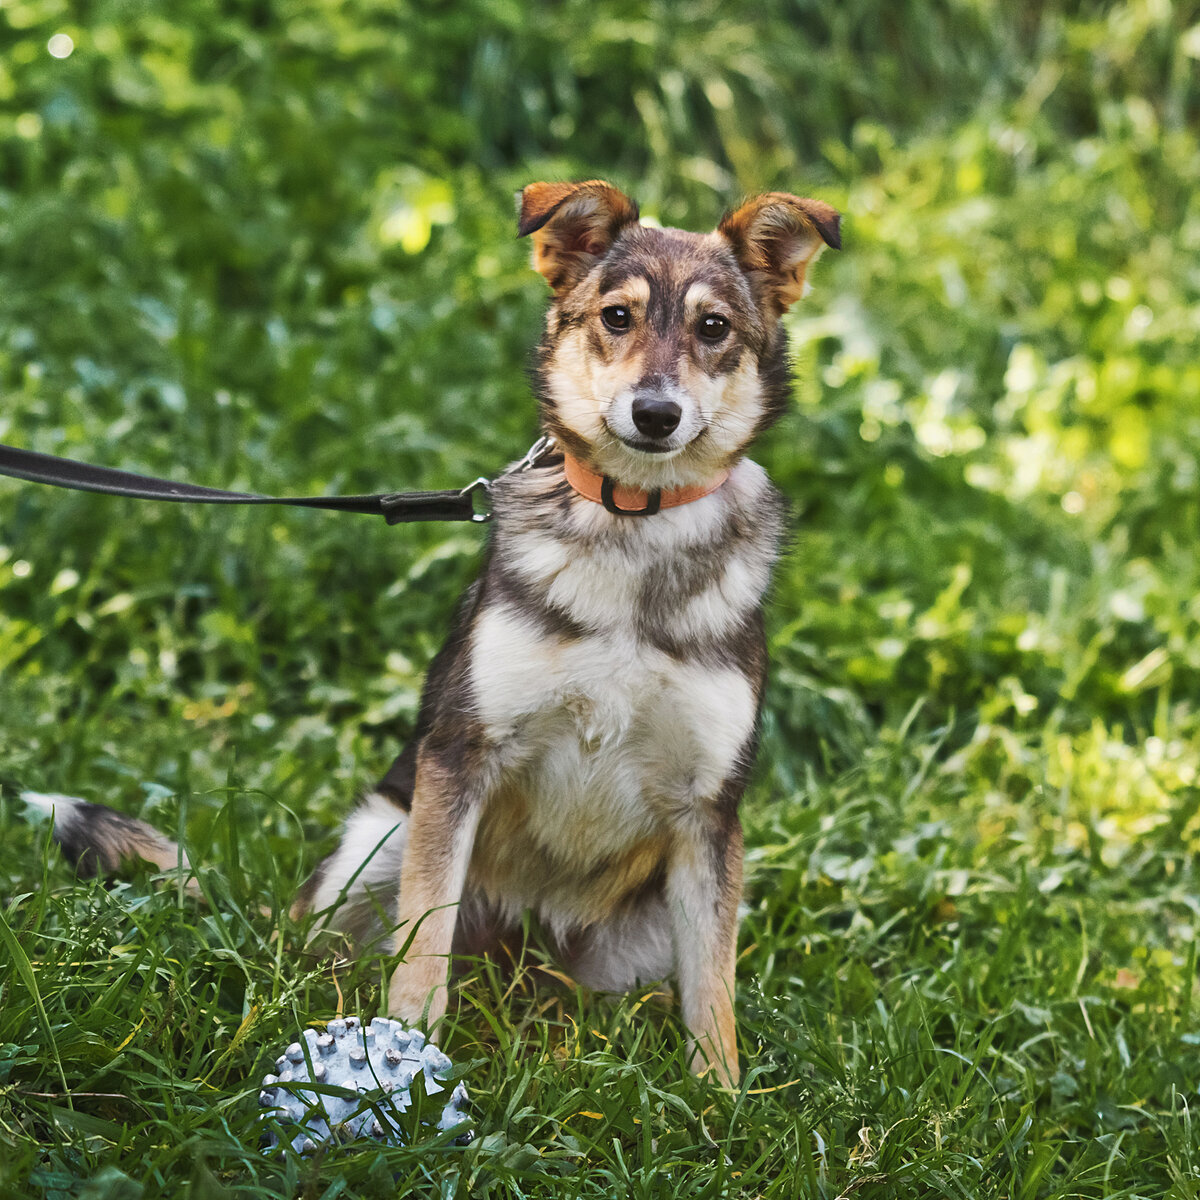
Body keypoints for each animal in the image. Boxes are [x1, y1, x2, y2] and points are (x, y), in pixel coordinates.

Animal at [28, 180, 840, 1089]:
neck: (634, 527)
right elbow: (424, 940)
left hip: (637, 933)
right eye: (617, 316)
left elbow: (713, 993)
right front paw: (405, 1057)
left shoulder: (709, 815)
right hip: (378, 839)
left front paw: (719, 1101)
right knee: (319, 957)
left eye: (714, 328)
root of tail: (513, 980)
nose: (656, 414)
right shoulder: (459, 758)